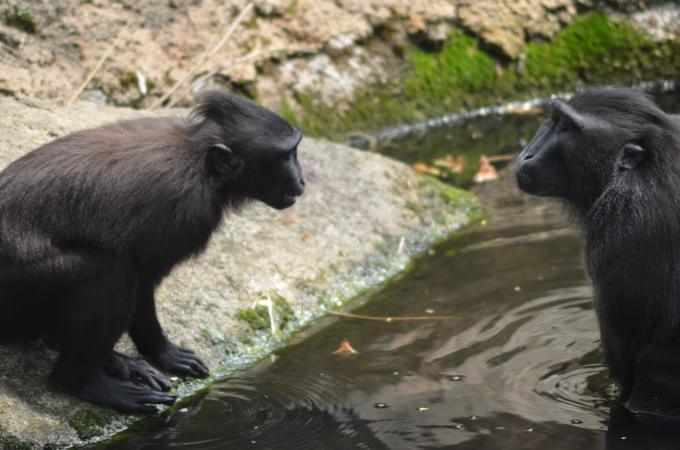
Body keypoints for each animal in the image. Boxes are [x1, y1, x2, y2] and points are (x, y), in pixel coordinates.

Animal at [0, 92, 306, 414]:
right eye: (287, 155)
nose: (302, 180)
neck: (201, 162)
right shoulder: (185, 212)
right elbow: (143, 282)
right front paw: (164, 352)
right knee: (109, 271)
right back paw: (87, 382)